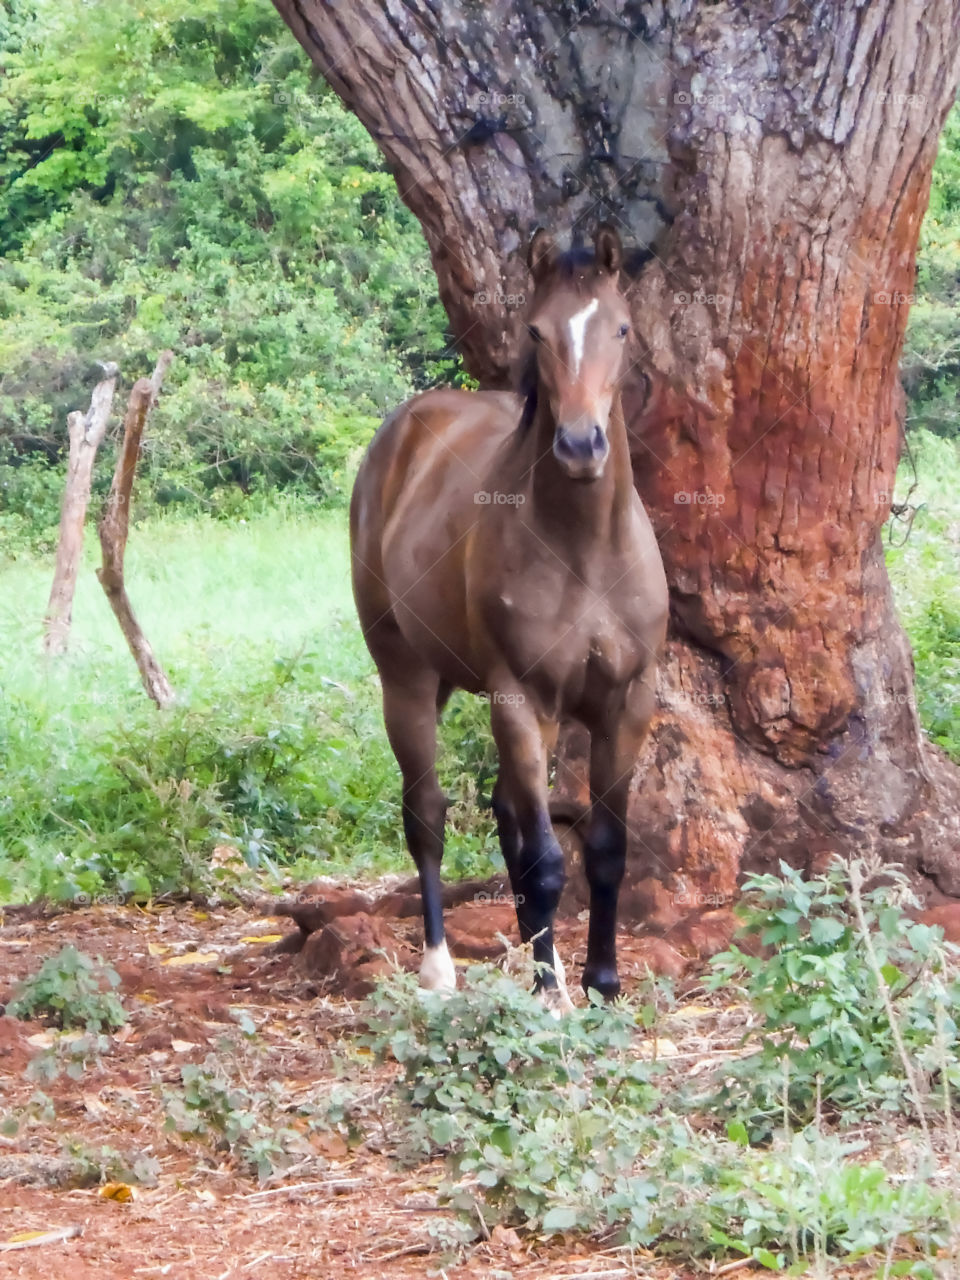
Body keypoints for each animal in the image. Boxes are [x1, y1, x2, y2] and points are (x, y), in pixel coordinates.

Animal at [350, 224, 668, 1006]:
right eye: (536, 330)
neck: (585, 550)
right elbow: (549, 860)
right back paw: (439, 966)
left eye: (620, 328)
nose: (581, 445)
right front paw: (551, 992)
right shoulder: (523, 700)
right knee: (427, 814)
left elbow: (604, 849)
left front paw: (601, 981)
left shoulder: (627, 702)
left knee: (507, 821)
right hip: (407, 680)